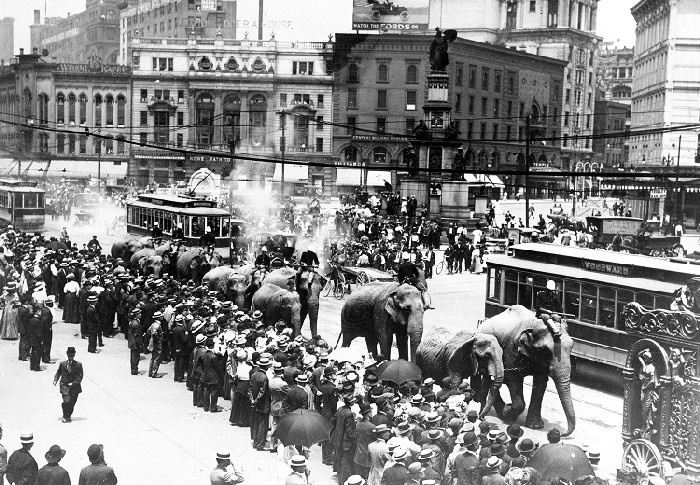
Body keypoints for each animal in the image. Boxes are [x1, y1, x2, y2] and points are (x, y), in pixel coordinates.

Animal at [478, 304, 576, 436]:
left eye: (572, 346)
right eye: (545, 351)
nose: (561, 433)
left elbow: (540, 382)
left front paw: (535, 426)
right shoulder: (511, 350)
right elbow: (513, 378)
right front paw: (508, 412)